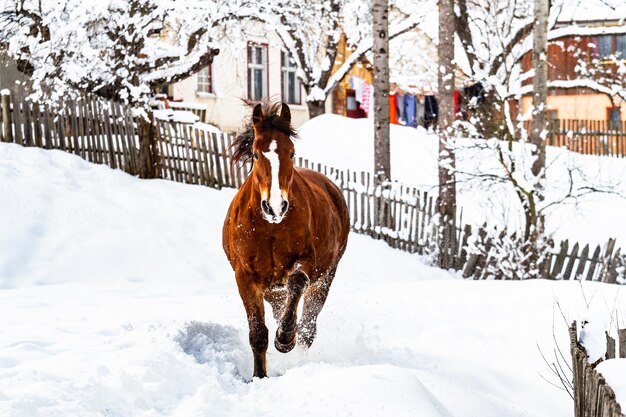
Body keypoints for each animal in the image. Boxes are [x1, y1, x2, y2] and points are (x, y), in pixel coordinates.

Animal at [219, 100, 348, 376]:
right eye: (257, 154)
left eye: (291, 153)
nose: (276, 207)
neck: (270, 228)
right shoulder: (245, 276)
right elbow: (258, 333)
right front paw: (259, 376)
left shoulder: (306, 262)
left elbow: (297, 282)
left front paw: (285, 338)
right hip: (272, 290)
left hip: (325, 278)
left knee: (308, 325)